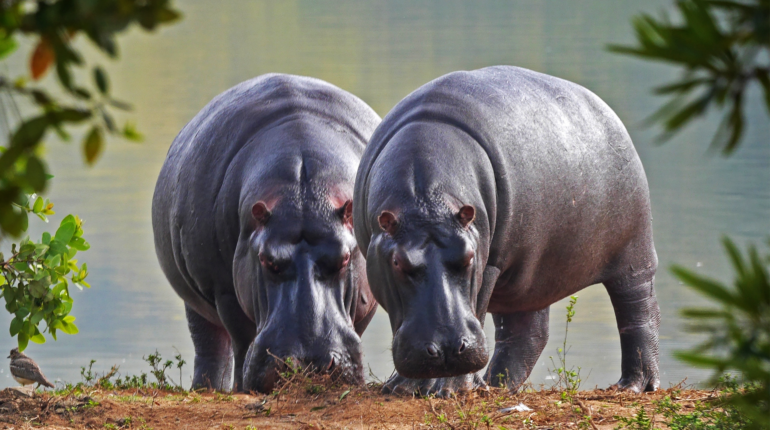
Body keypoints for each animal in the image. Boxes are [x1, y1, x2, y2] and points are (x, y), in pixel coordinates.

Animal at [152, 74, 380, 393]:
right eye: (266, 260)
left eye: (345, 258)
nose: (307, 364)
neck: (304, 194)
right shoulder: (225, 291)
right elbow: (242, 338)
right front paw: (241, 388)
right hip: (197, 302)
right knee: (211, 347)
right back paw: (208, 389)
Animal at [353, 66, 660, 396]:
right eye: (397, 262)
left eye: (469, 256)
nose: (447, 350)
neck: (426, 201)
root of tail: (606, 111)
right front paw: (401, 387)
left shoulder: (489, 263)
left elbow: (476, 307)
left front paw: (449, 389)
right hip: (529, 273)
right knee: (527, 332)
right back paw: (496, 386)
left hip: (633, 254)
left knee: (639, 312)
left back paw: (634, 386)